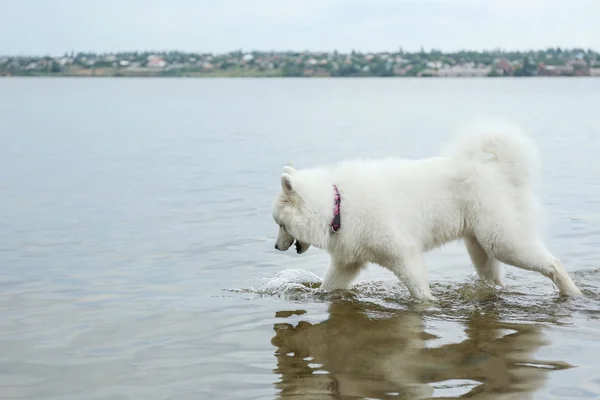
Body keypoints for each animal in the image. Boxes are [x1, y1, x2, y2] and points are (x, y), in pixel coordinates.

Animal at [272, 125, 580, 300]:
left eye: (281, 225)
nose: (275, 247)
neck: (338, 206)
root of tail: (499, 171)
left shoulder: (404, 255)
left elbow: (420, 292)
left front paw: (428, 306)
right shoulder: (348, 263)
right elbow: (329, 286)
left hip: (503, 241)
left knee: (554, 263)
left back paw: (572, 292)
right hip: (480, 248)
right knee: (495, 279)